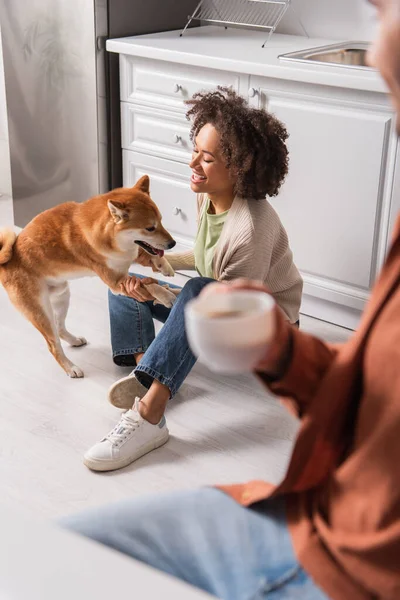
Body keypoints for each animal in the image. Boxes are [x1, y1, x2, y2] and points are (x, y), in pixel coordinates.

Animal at [0, 176, 178, 378]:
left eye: (161, 221)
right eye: (150, 228)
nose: (173, 243)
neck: (115, 242)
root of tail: (7, 262)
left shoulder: (131, 255)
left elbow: (148, 254)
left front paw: (164, 265)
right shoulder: (116, 283)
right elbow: (148, 285)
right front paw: (165, 295)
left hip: (62, 295)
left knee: (59, 327)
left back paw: (74, 340)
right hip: (40, 312)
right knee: (53, 345)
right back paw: (71, 368)